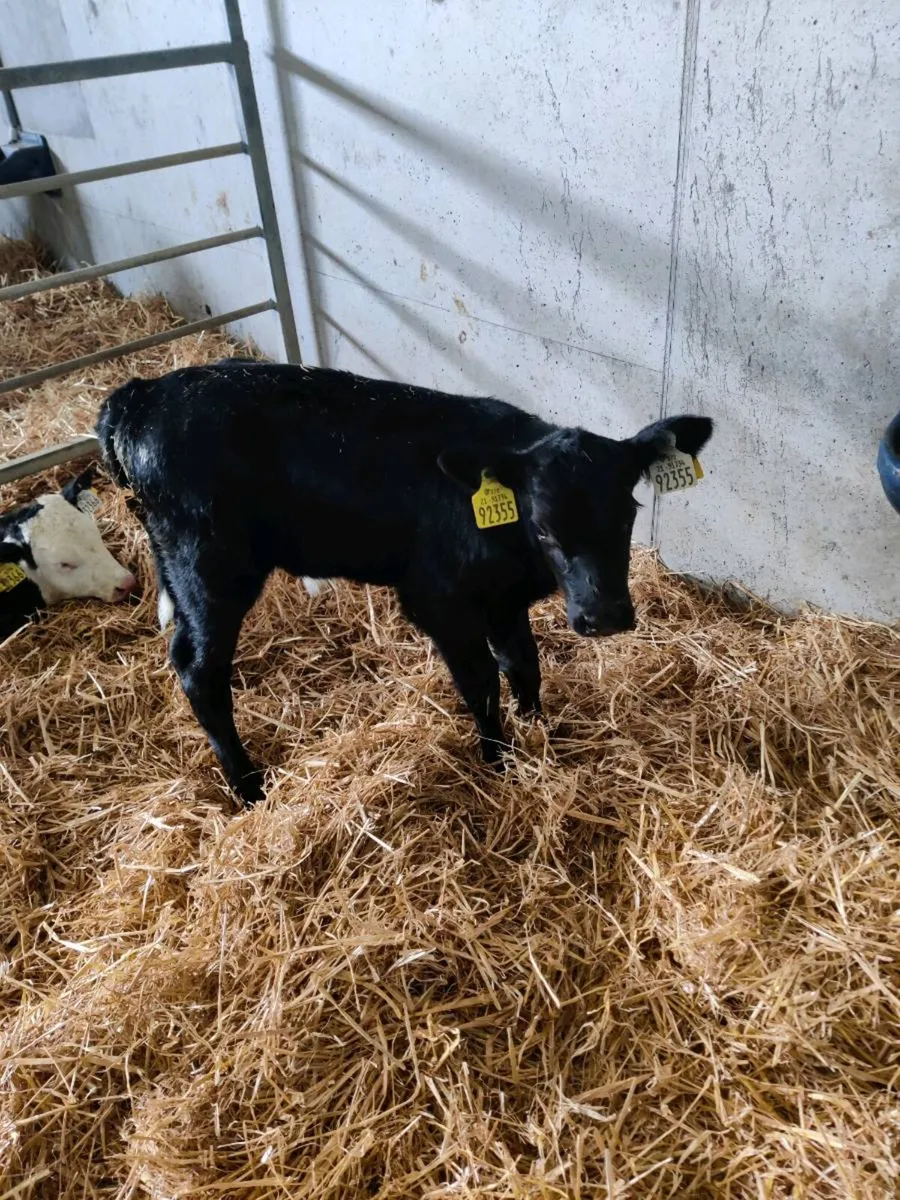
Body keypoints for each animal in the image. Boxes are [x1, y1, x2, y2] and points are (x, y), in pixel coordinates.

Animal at [96, 361, 712, 805]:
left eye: (630, 511)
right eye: (541, 523)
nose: (603, 616)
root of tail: (142, 393)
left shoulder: (503, 600)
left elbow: (523, 664)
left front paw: (539, 731)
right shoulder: (439, 600)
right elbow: (481, 680)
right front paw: (499, 761)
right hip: (211, 567)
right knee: (198, 667)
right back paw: (249, 789)